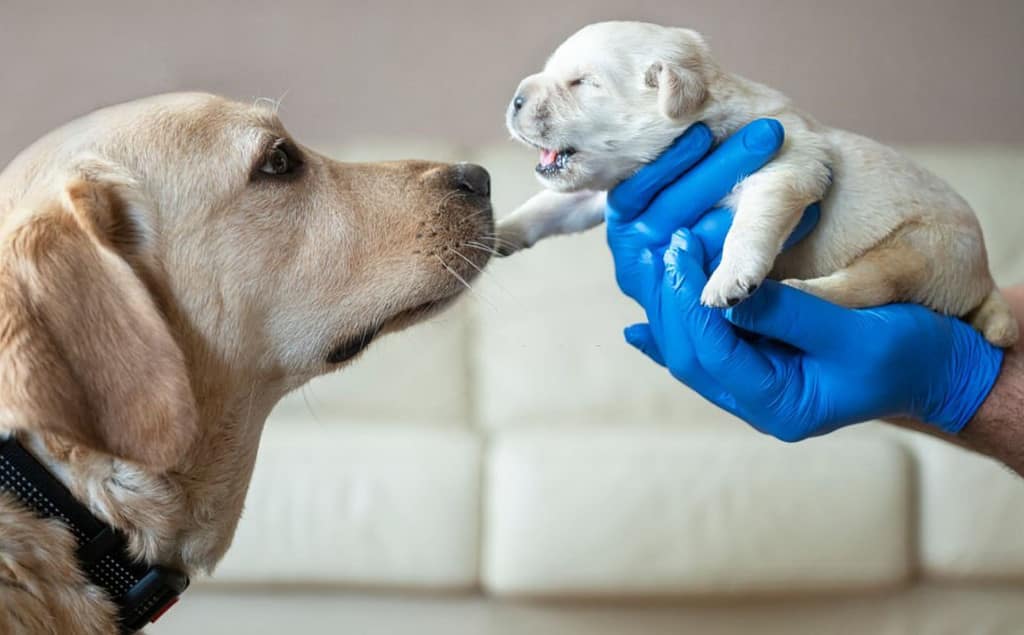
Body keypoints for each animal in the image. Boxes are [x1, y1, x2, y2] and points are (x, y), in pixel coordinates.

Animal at [497, 19, 1015, 344]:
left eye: (582, 83)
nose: (515, 99)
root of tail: (985, 278)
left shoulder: (788, 165)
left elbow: (751, 225)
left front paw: (730, 278)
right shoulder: (607, 187)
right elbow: (548, 206)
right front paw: (500, 231)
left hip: (920, 249)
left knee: (871, 287)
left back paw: (806, 293)